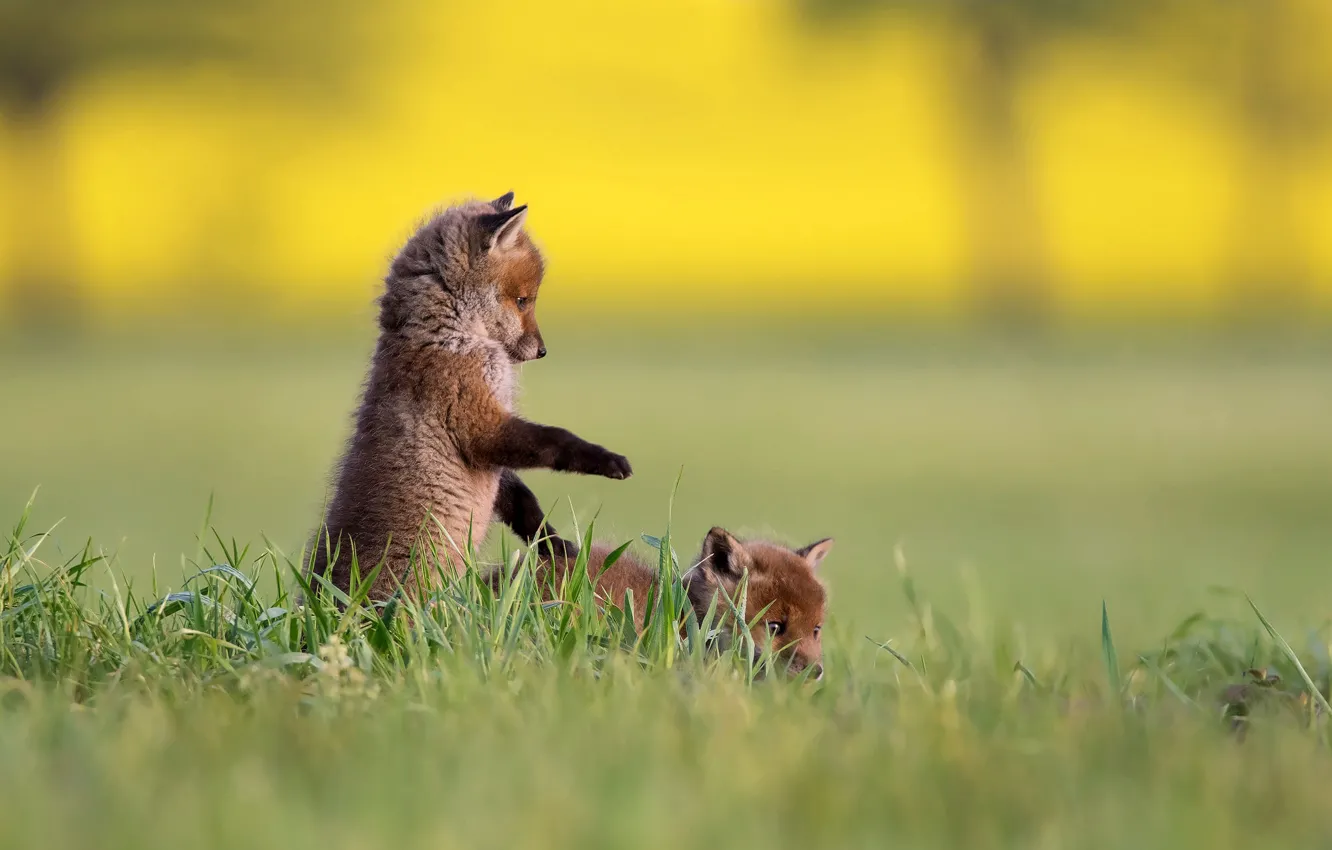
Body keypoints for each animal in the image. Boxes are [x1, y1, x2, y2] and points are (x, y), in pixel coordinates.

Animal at [307, 191, 630, 602]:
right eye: (523, 300)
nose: (542, 351)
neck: (446, 336)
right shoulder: (478, 426)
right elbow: (556, 440)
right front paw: (606, 460)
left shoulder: (493, 450)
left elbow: (521, 500)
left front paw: (554, 545)